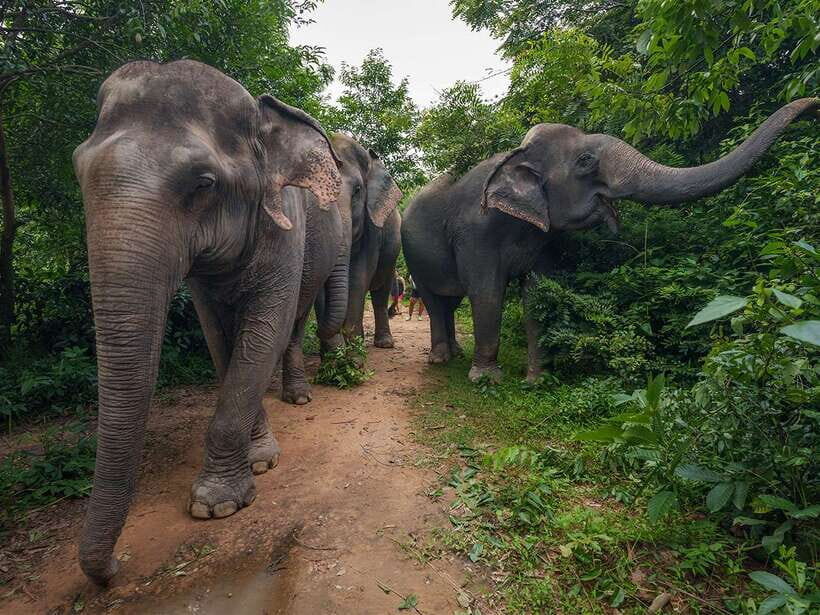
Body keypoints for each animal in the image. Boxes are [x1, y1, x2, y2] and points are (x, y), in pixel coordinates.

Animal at [72, 59, 346, 584]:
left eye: (203, 184)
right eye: (78, 171)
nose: (116, 566)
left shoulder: (285, 226)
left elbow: (263, 332)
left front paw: (216, 506)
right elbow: (219, 338)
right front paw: (259, 462)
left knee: (295, 321)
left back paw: (300, 397)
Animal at [401, 98, 818, 383]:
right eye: (586, 161)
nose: (813, 104)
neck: (516, 156)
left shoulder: (546, 238)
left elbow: (537, 291)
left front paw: (537, 380)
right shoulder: (476, 231)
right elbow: (487, 293)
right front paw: (486, 381)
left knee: (450, 302)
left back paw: (455, 354)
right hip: (413, 255)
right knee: (436, 301)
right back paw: (441, 360)